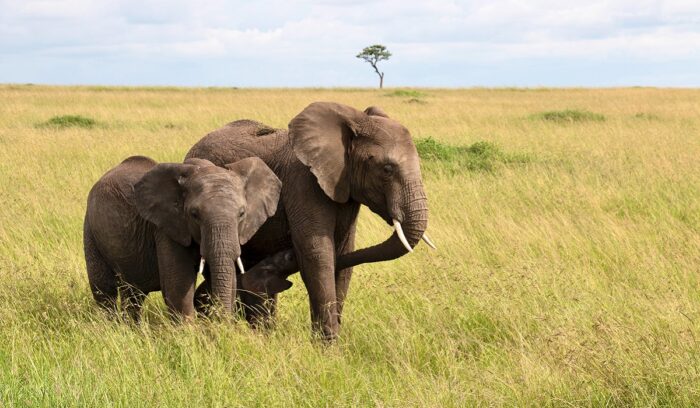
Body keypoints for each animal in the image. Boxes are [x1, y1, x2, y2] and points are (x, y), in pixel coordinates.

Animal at [83, 155, 288, 321]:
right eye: (194, 214)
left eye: (242, 214)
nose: (225, 325)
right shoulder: (167, 228)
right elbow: (178, 287)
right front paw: (188, 337)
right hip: (90, 229)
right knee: (105, 290)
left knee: (133, 293)